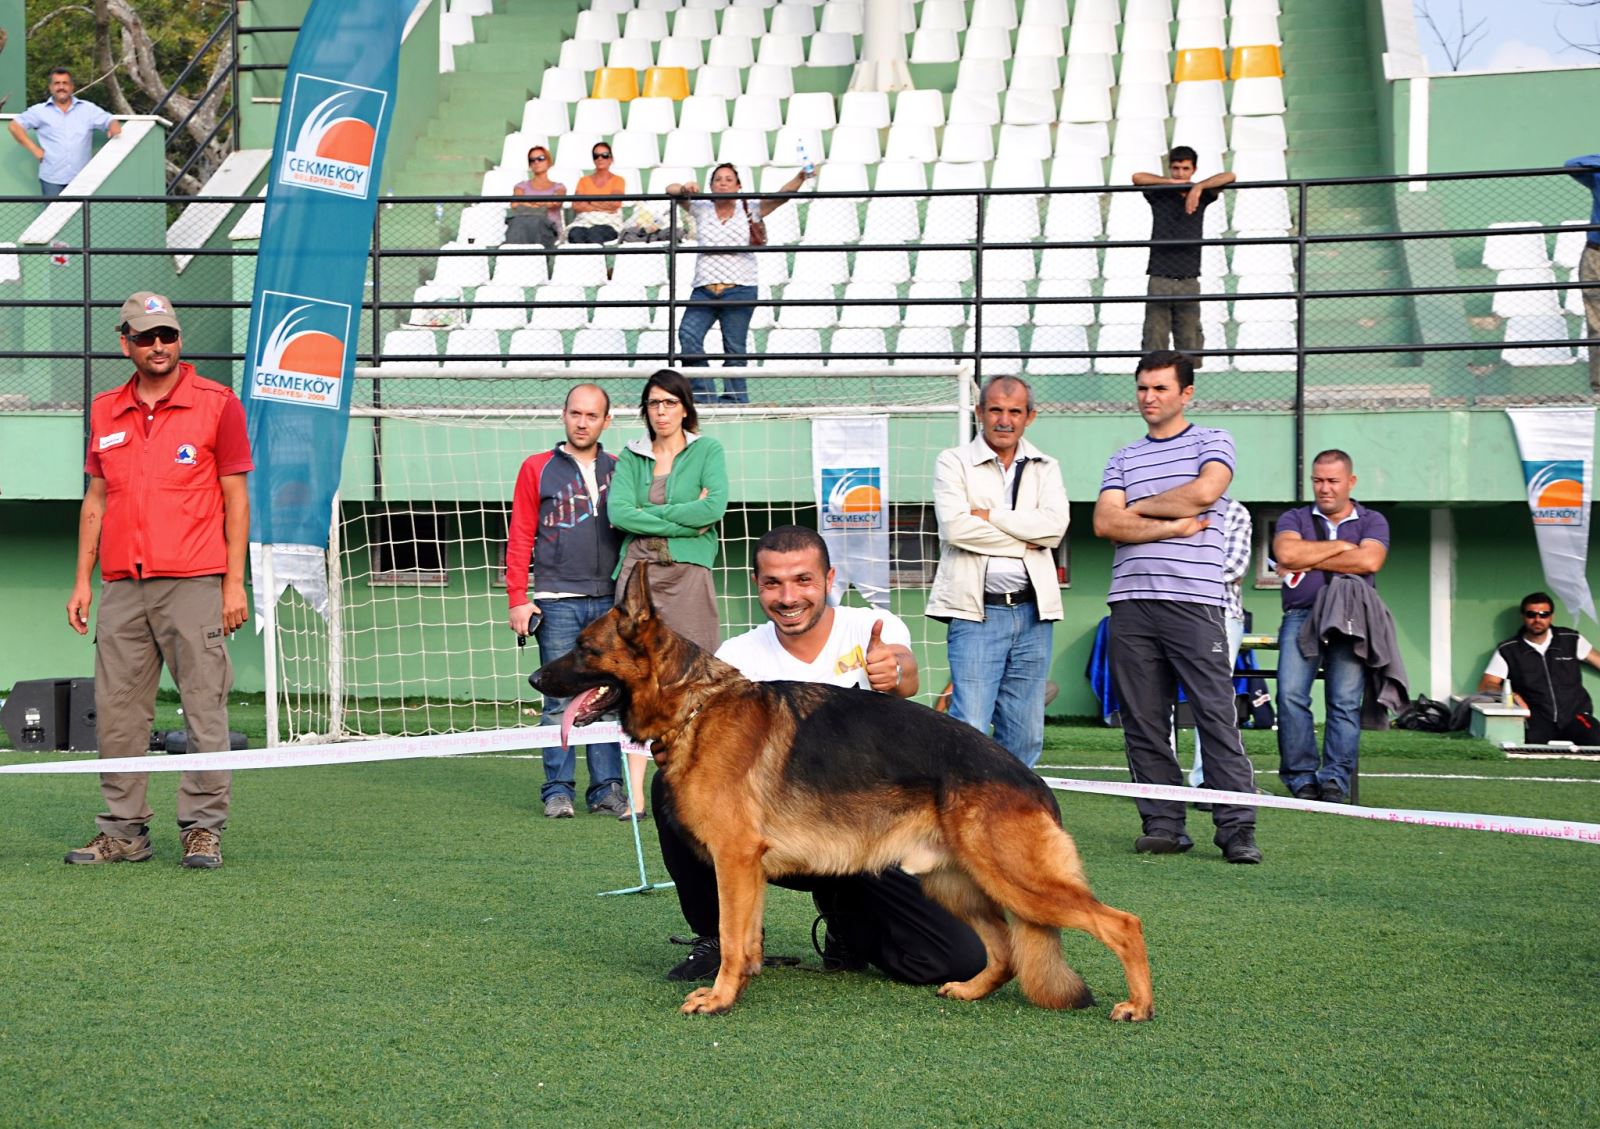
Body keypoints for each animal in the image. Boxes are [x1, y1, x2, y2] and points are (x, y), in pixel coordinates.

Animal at [534, 566, 1152, 1017]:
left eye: (585, 648)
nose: (536, 680)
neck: (695, 704)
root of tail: (1031, 780)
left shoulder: (734, 859)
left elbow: (732, 936)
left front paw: (721, 998)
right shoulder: (743, 869)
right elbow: (744, 938)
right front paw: (741, 983)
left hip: (1016, 881)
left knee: (1123, 923)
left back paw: (1138, 1006)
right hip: (955, 884)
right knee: (1003, 950)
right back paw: (972, 990)